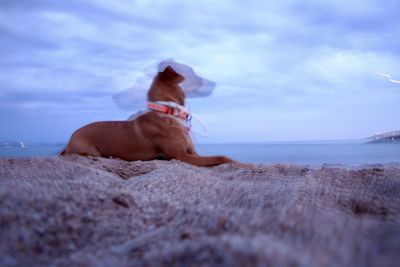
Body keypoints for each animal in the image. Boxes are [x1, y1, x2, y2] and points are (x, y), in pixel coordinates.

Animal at [62, 66, 236, 168]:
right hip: (90, 150)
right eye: (193, 75)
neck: (167, 111)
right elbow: (223, 157)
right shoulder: (180, 156)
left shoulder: (193, 153)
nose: (215, 83)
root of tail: (69, 141)